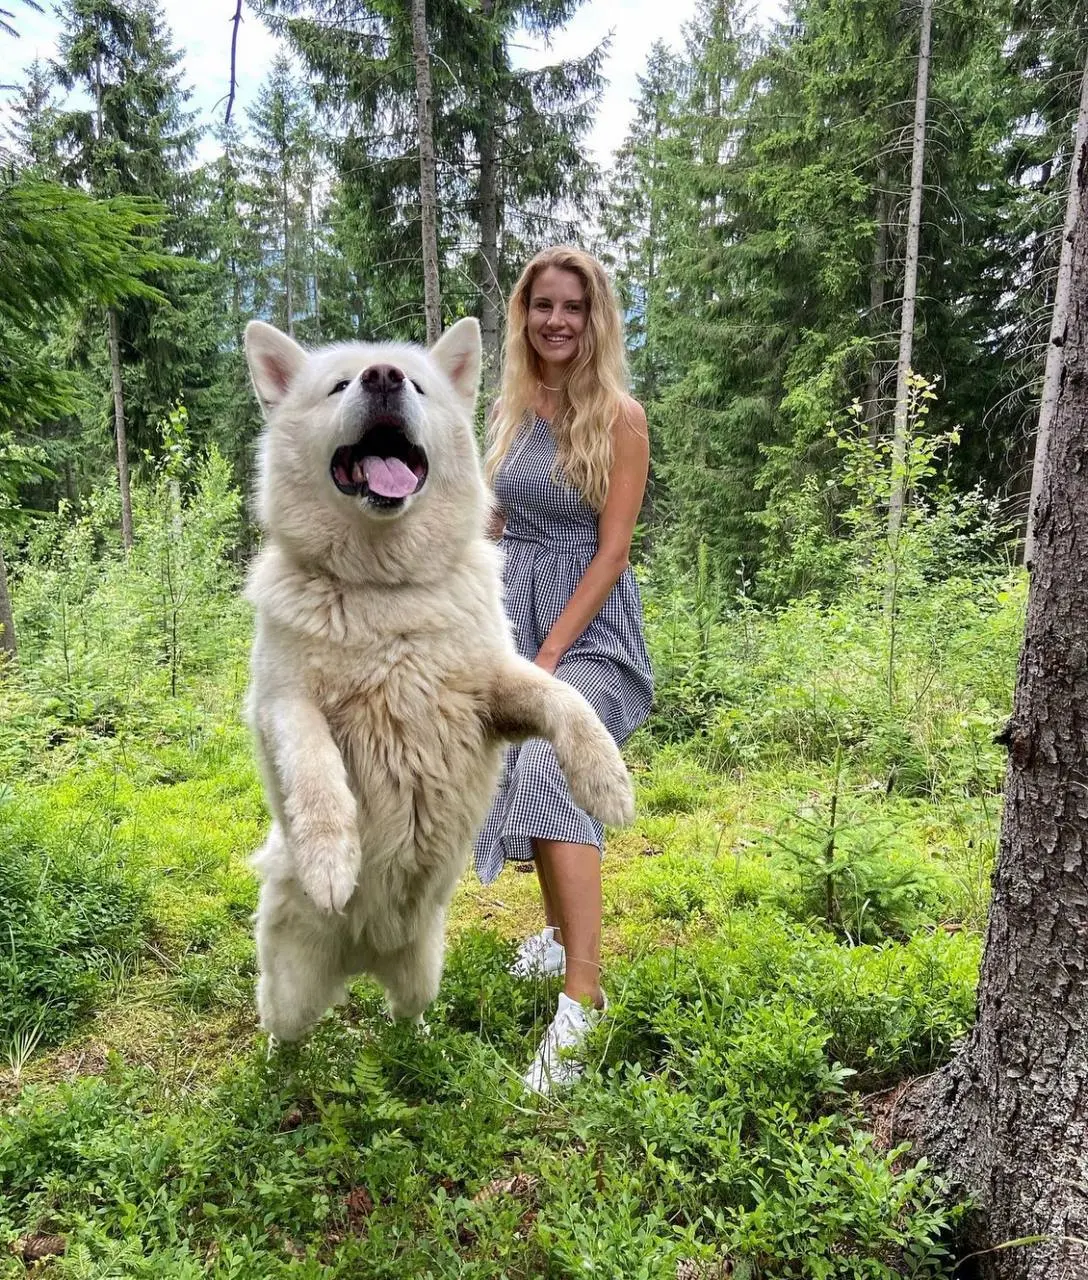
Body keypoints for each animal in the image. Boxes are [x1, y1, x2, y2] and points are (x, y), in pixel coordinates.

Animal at [241, 317, 632, 1039]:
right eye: (339, 383)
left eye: (417, 384)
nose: (383, 377)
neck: (387, 592)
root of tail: (365, 954)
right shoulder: (282, 703)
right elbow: (314, 767)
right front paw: (331, 862)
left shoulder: (493, 694)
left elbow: (566, 700)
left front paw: (609, 783)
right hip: (289, 991)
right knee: (284, 1030)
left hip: (423, 965)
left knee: (407, 1016)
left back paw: (419, 1040)